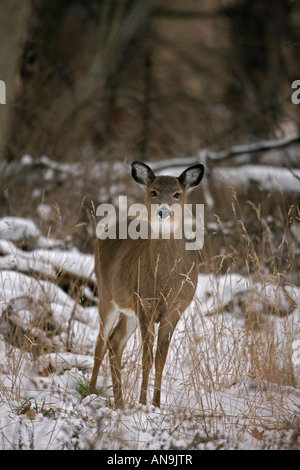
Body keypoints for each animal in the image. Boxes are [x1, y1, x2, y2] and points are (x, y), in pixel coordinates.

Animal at [88, 161, 204, 408]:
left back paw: (120, 402)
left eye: (177, 194)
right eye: (153, 192)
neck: (165, 281)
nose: (163, 212)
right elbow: (146, 357)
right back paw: (91, 393)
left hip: (129, 309)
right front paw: (142, 403)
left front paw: (157, 404)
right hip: (106, 294)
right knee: (101, 342)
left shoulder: (175, 308)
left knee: (115, 342)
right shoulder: (146, 304)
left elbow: (161, 359)